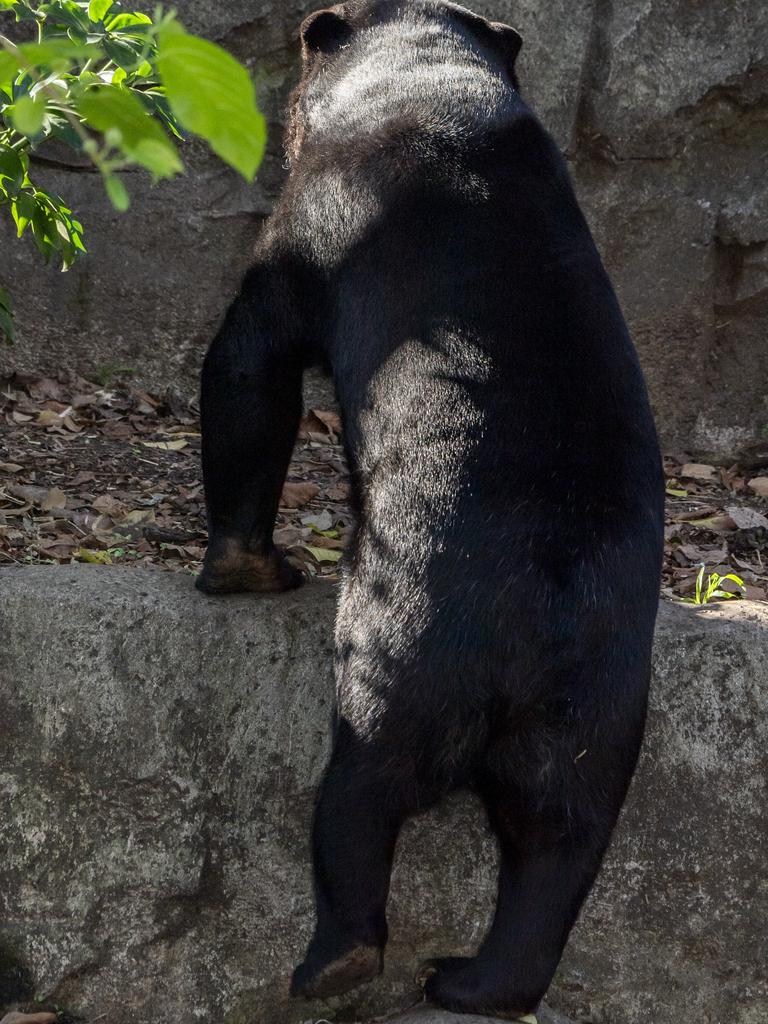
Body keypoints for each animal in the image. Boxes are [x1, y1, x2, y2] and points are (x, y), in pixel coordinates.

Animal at [198, 2, 667, 1015]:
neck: (431, 80)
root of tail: (538, 622)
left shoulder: (324, 217)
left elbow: (252, 360)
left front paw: (250, 568)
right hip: (598, 705)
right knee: (560, 840)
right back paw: (472, 981)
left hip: (409, 642)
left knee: (363, 782)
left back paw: (336, 962)